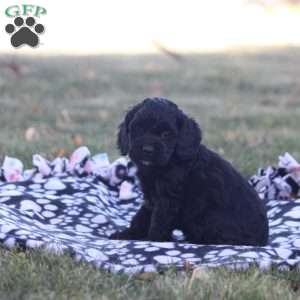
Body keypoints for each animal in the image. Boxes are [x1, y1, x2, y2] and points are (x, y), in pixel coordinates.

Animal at [110, 98, 270, 246]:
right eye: (139, 129)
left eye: (166, 134)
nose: (147, 149)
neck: (169, 162)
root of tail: (264, 240)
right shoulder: (151, 199)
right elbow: (141, 217)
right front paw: (126, 234)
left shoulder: (168, 201)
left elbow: (158, 223)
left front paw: (152, 241)